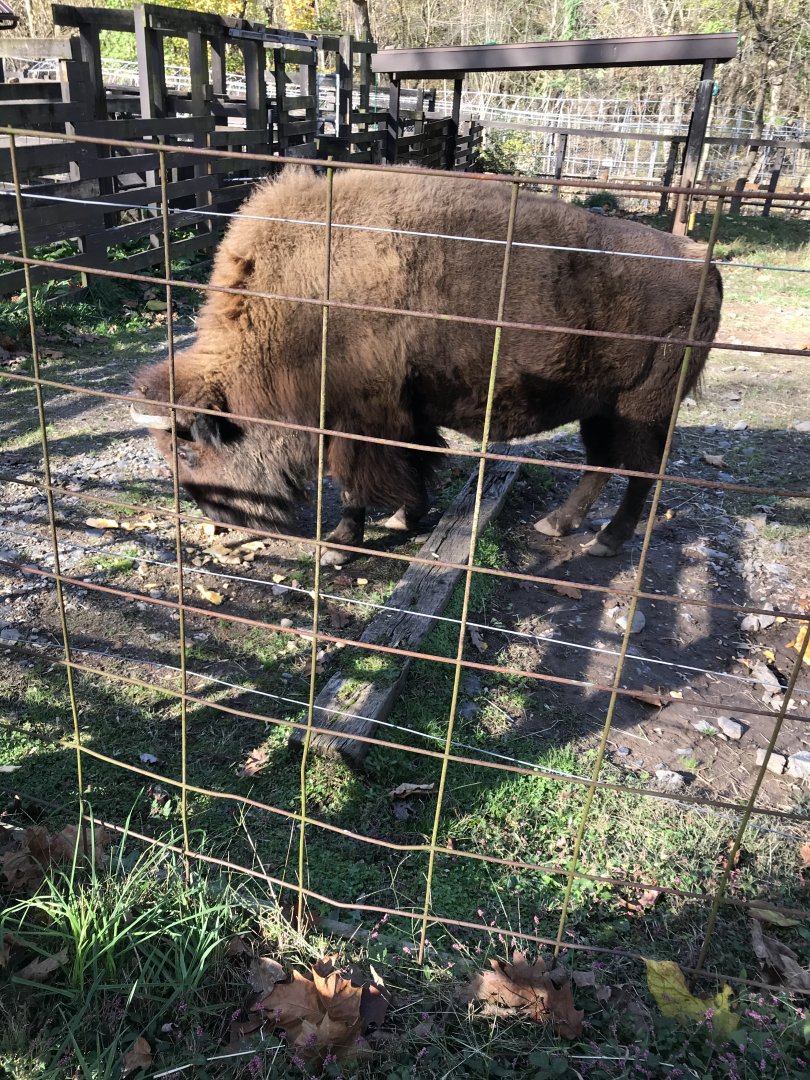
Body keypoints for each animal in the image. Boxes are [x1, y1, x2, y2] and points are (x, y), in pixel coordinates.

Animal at [131, 167, 722, 564]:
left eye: (188, 448)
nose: (221, 519)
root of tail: (704, 264)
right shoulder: (406, 414)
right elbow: (418, 464)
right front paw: (405, 516)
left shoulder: (362, 422)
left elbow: (356, 483)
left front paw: (340, 547)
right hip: (599, 408)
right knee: (601, 462)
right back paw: (557, 525)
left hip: (641, 409)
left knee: (639, 471)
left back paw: (605, 541)